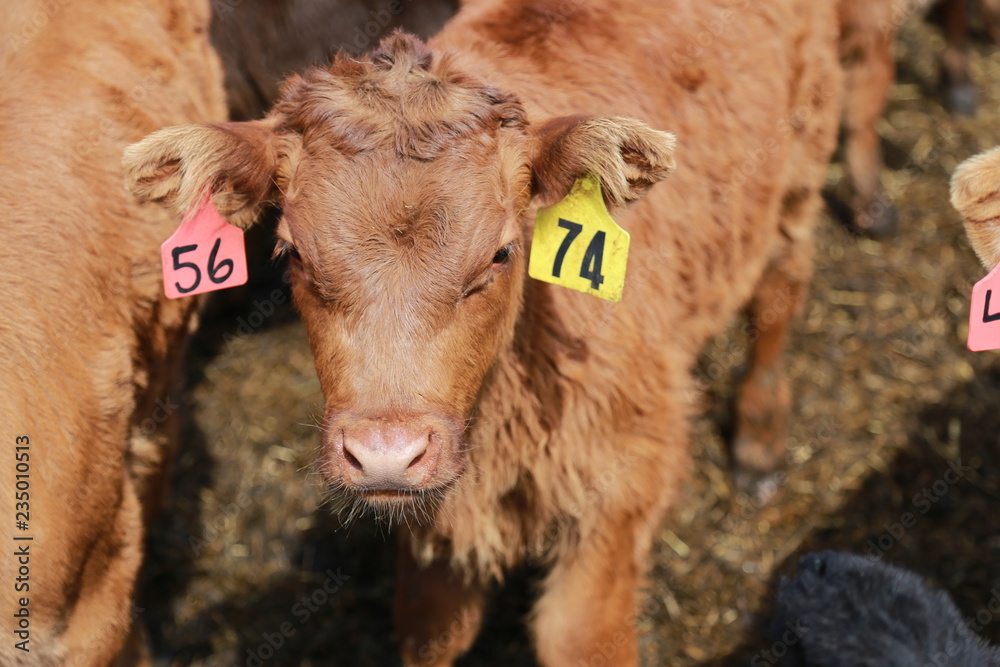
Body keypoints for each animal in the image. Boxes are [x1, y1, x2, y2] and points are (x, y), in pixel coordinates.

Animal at [123, 0, 843, 663]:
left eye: (501, 254)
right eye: (294, 253)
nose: (386, 454)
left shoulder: (620, 488)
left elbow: (580, 636)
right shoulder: (438, 535)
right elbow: (431, 627)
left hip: (800, 166)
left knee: (781, 289)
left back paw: (759, 439)